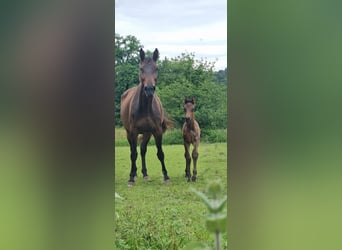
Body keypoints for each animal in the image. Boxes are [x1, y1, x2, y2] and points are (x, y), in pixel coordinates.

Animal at [121, 48, 174, 186]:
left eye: (156, 68)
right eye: (141, 68)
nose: (149, 89)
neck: (145, 108)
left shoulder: (157, 131)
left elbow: (160, 153)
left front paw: (166, 176)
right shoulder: (133, 132)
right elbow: (133, 154)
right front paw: (131, 178)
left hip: (147, 133)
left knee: (143, 149)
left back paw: (145, 174)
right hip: (129, 133)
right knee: (133, 151)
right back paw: (134, 173)